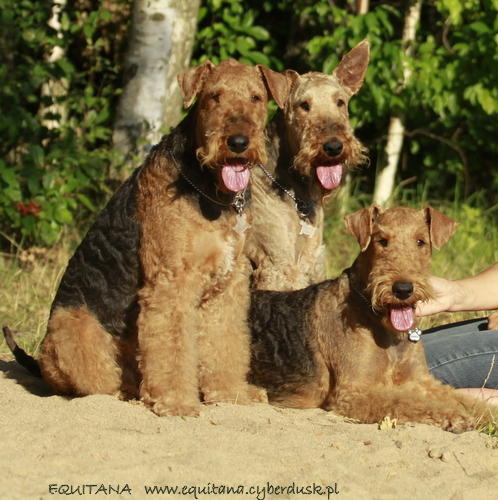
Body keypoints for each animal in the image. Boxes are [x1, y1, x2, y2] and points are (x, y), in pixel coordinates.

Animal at [3, 59, 290, 418]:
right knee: (96, 382)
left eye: (256, 97)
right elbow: (172, 346)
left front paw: (231, 393)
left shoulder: (229, 283)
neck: (213, 192)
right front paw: (177, 402)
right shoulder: (172, 281)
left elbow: (223, 344)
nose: (238, 142)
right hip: (75, 329)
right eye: (214, 96)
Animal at [251, 205, 492, 432]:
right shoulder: (352, 391)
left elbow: (469, 402)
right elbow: (405, 403)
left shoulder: (421, 380)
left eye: (420, 241)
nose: (402, 289)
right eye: (382, 240)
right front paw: (456, 416)